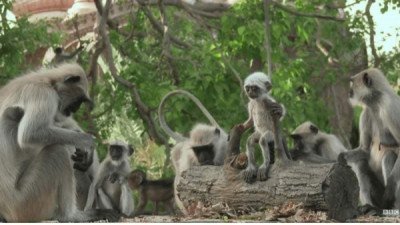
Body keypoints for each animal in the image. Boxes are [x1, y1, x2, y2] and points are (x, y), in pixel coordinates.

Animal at [0, 62, 119, 221]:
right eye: (78, 101)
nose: (75, 109)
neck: (48, 81)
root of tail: (7, 212)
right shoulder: (44, 94)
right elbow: (30, 134)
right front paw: (87, 142)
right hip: (25, 202)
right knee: (58, 151)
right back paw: (72, 216)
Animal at [342, 68, 400, 213]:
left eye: (352, 82)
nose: (349, 91)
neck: (376, 102)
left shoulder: (389, 107)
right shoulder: (366, 112)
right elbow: (364, 149)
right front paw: (341, 158)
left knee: (389, 156)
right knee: (360, 163)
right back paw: (370, 207)